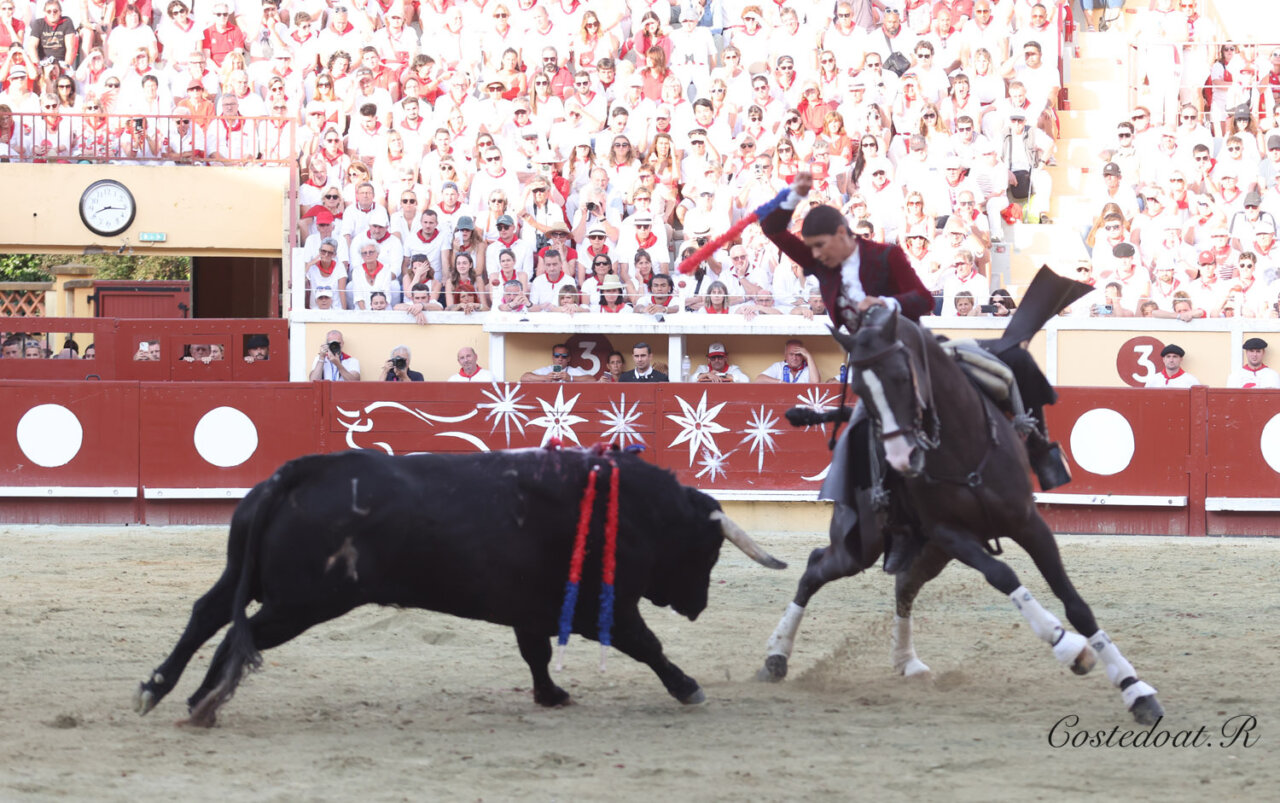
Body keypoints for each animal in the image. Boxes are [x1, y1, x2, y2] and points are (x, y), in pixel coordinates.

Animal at [134, 446, 785, 726]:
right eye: (707, 550)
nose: (698, 606)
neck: (630, 508)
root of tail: (296, 472)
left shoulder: (534, 607)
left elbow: (535, 654)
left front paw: (551, 694)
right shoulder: (607, 606)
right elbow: (647, 646)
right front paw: (689, 688)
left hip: (249, 578)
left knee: (207, 614)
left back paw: (159, 689)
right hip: (302, 602)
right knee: (237, 636)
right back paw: (202, 703)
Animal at [756, 305, 1165, 725]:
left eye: (902, 375)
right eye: (860, 388)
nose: (901, 457)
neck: (963, 449)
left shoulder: (1028, 524)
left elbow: (1075, 603)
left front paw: (1134, 689)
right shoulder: (952, 533)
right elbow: (1004, 576)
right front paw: (1066, 645)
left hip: (927, 551)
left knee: (903, 585)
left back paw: (907, 662)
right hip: (863, 546)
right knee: (815, 567)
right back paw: (776, 657)